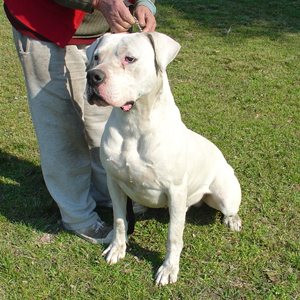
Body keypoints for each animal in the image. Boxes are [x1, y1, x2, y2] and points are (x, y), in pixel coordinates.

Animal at [85, 32, 241, 286]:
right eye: (96, 57)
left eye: (129, 58)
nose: (93, 76)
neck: (134, 124)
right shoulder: (113, 182)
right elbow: (119, 220)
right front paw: (117, 248)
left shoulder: (175, 191)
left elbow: (174, 235)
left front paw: (168, 269)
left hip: (224, 194)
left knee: (228, 208)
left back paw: (232, 220)